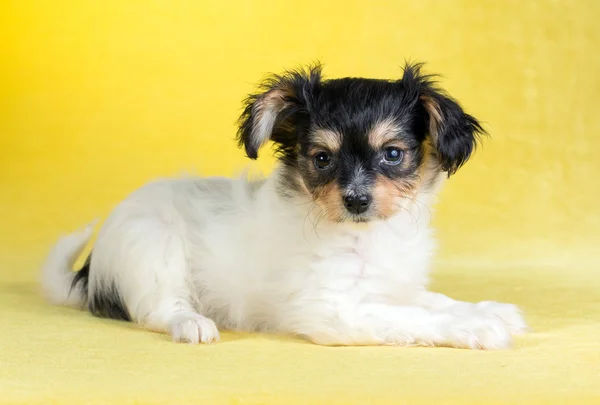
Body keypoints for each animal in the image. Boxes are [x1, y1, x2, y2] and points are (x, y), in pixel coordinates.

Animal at [42, 62, 528, 348]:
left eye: (392, 154)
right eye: (322, 159)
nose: (355, 200)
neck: (366, 236)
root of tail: (90, 271)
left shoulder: (392, 285)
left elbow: (432, 301)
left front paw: (489, 310)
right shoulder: (331, 310)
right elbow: (409, 317)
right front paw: (475, 328)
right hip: (151, 248)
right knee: (156, 309)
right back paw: (192, 323)